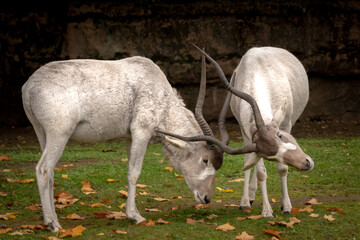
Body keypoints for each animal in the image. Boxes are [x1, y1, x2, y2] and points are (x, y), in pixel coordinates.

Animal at [21, 55, 228, 232]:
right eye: (205, 160)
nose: (207, 198)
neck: (160, 94)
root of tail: (28, 88)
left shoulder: (130, 137)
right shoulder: (141, 132)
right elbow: (134, 173)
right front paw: (135, 216)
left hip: (43, 133)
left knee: (50, 173)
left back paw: (52, 219)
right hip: (59, 133)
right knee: (43, 169)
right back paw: (53, 224)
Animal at [160, 46, 316, 218]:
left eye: (280, 135)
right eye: (271, 156)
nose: (307, 163)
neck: (259, 73)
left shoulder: (286, 124)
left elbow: (282, 168)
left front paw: (286, 207)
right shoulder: (248, 135)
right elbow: (258, 169)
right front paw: (266, 211)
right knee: (250, 162)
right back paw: (247, 200)